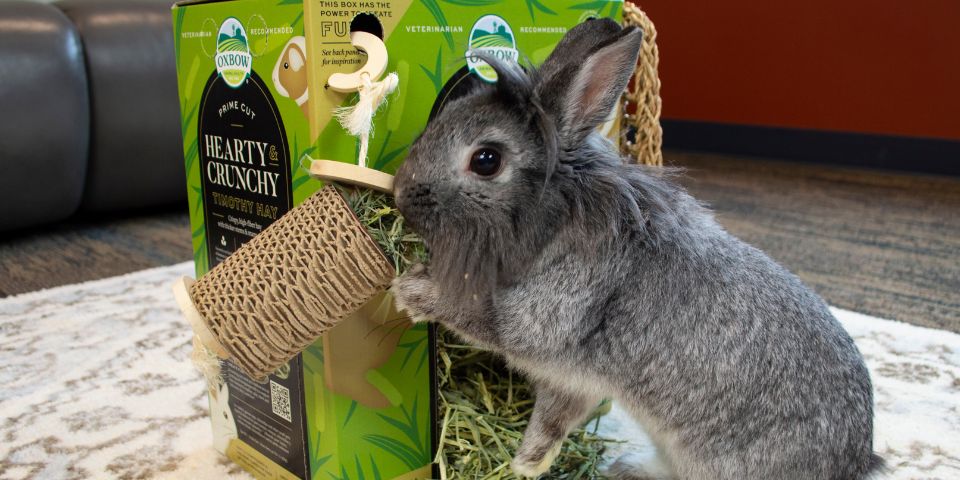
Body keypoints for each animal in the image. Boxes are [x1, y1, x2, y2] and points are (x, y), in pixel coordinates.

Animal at [388, 17, 876, 480]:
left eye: (486, 160)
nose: (399, 192)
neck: (562, 210)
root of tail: (857, 463)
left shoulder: (543, 325)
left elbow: (477, 316)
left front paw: (411, 292)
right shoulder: (573, 381)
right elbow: (554, 423)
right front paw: (528, 464)